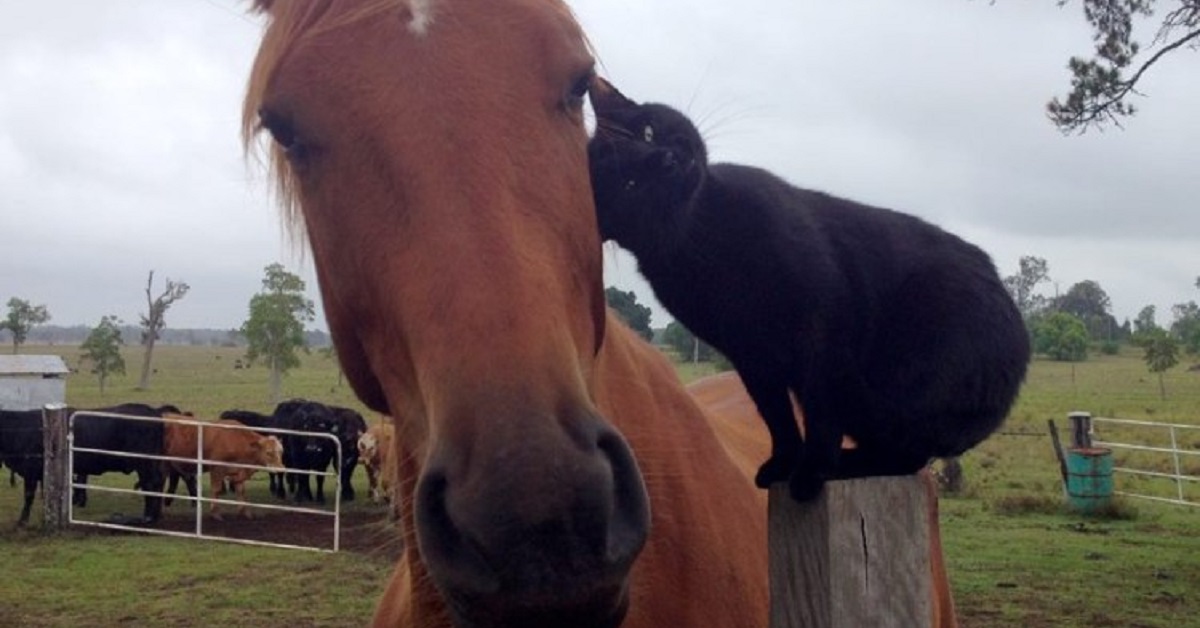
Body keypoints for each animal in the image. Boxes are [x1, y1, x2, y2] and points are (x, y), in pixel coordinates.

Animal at [588, 77, 1032, 501]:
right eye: (631, 183)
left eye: (647, 132)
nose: (668, 159)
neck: (705, 237)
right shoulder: (752, 355)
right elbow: (777, 417)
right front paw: (784, 463)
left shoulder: (822, 328)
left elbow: (820, 410)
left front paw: (812, 469)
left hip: (903, 381)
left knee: (905, 452)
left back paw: (842, 464)